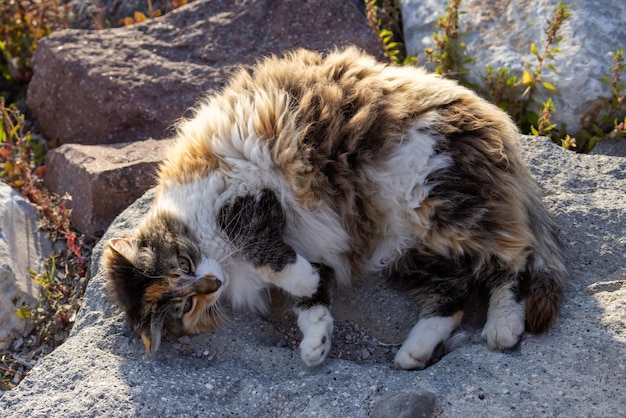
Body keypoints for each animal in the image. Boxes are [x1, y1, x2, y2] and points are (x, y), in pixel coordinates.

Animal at [101, 46, 564, 370]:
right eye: (185, 306)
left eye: (183, 264)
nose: (211, 283)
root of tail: (500, 126)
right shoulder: (309, 249)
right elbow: (312, 302)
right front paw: (315, 347)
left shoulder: (248, 194)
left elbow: (267, 252)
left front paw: (299, 289)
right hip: (405, 254)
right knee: (453, 297)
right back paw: (412, 354)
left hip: (443, 203)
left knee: (513, 262)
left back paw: (503, 328)